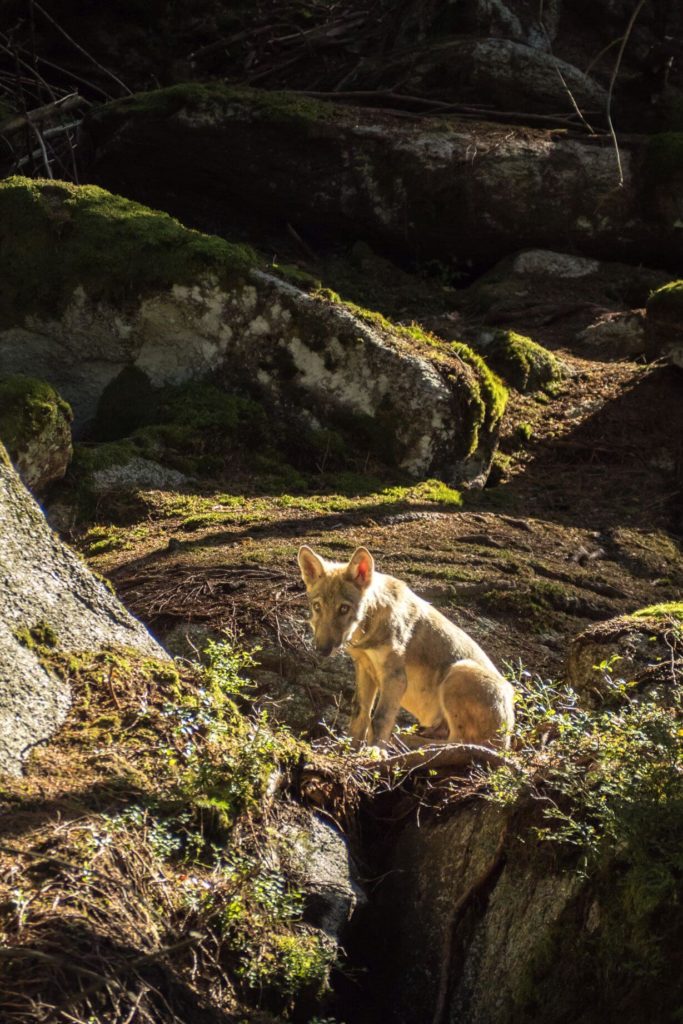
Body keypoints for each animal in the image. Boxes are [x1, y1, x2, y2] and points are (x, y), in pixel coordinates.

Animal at [296, 544, 516, 753]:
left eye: (343, 609)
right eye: (317, 607)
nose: (322, 649)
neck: (367, 630)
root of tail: (507, 739)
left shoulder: (395, 678)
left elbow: (380, 719)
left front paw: (375, 751)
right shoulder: (365, 669)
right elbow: (360, 714)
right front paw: (348, 749)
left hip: (459, 671)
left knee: (461, 742)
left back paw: (406, 742)